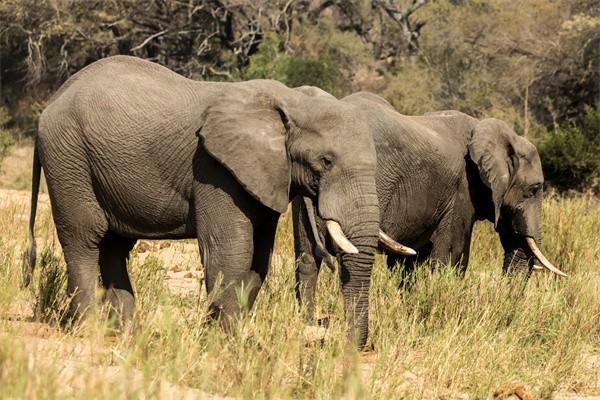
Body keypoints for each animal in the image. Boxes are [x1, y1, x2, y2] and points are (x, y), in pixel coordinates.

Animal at [23, 55, 408, 346]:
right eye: (326, 161)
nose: (348, 347)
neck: (290, 102)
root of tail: (52, 101)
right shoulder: (214, 167)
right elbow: (232, 250)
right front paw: (226, 342)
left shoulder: (265, 173)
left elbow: (258, 257)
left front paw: (219, 334)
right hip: (69, 157)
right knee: (84, 238)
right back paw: (90, 331)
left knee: (115, 246)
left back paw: (128, 333)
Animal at [296, 91, 568, 322]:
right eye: (534, 189)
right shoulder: (462, 190)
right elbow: (453, 255)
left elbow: (407, 263)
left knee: (307, 256)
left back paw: (306, 323)